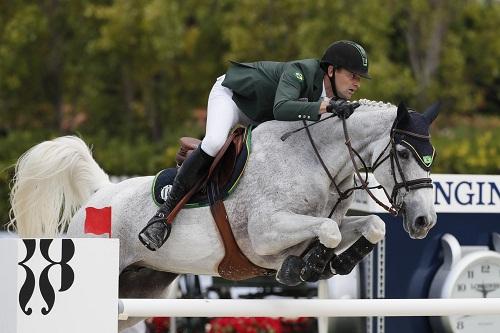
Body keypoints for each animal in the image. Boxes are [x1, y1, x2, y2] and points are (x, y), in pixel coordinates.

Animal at [6, 98, 438, 330]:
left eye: (430, 156)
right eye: (403, 154)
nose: (424, 221)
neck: (314, 160)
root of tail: (101, 191)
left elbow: (370, 224)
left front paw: (334, 263)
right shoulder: (265, 235)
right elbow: (328, 229)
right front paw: (306, 266)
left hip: (140, 290)